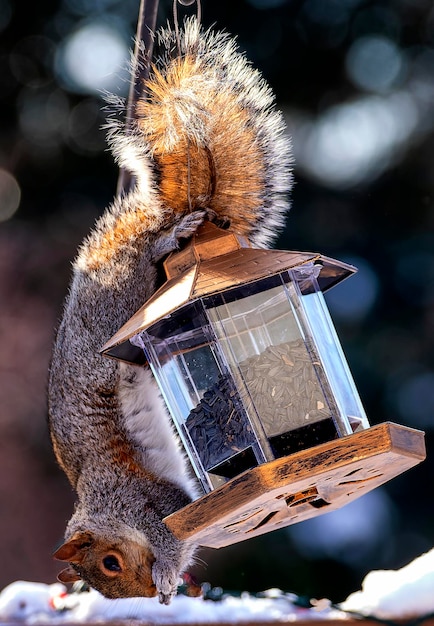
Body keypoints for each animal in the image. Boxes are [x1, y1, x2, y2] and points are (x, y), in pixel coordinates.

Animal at [47, 17, 294, 604]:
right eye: (107, 581)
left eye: (110, 564)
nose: (154, 597)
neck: (104, 504)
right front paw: (171, 579)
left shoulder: (148, 499)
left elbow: (169, 531)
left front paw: (163, 572)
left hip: (120, 296)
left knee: (145, 260)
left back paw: (168, 238)